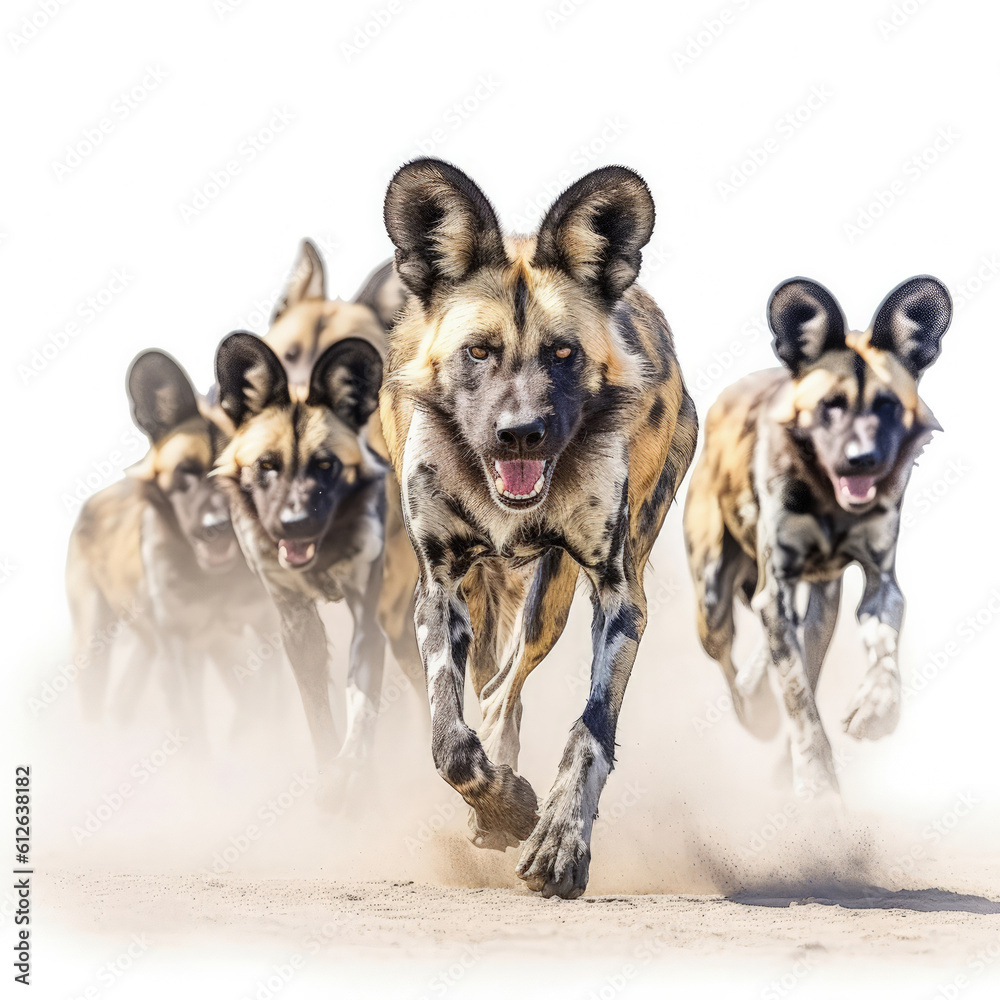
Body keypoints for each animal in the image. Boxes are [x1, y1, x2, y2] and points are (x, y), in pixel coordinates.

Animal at [66, 350, 274, 736]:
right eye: (184, 473)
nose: (216, 527)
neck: (217, 584)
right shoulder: (177, 655)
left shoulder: (268, 633)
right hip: (94, 647)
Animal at [378, 158, 700, 900]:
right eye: (478, 352)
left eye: (562, 353)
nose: (520, 433)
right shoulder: (440, 588)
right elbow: (449, 744)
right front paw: (503, 806)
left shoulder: (619, 598)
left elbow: (590, 732)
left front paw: (558, 842)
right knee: (493, 695)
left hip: (551, 600)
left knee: (504, 689)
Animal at [688, 274, 952, 796]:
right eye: (831, 406)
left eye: (887, 406)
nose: (862, 460)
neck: (831, 503)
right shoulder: (774, 589)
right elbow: (799, 701)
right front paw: (817, 784)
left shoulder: (881, 584)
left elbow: (880, 649)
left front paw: (877, 708)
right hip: (712, 602)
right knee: (735, 663)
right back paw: (755, 711)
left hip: (820, 604)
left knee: (801, 652)